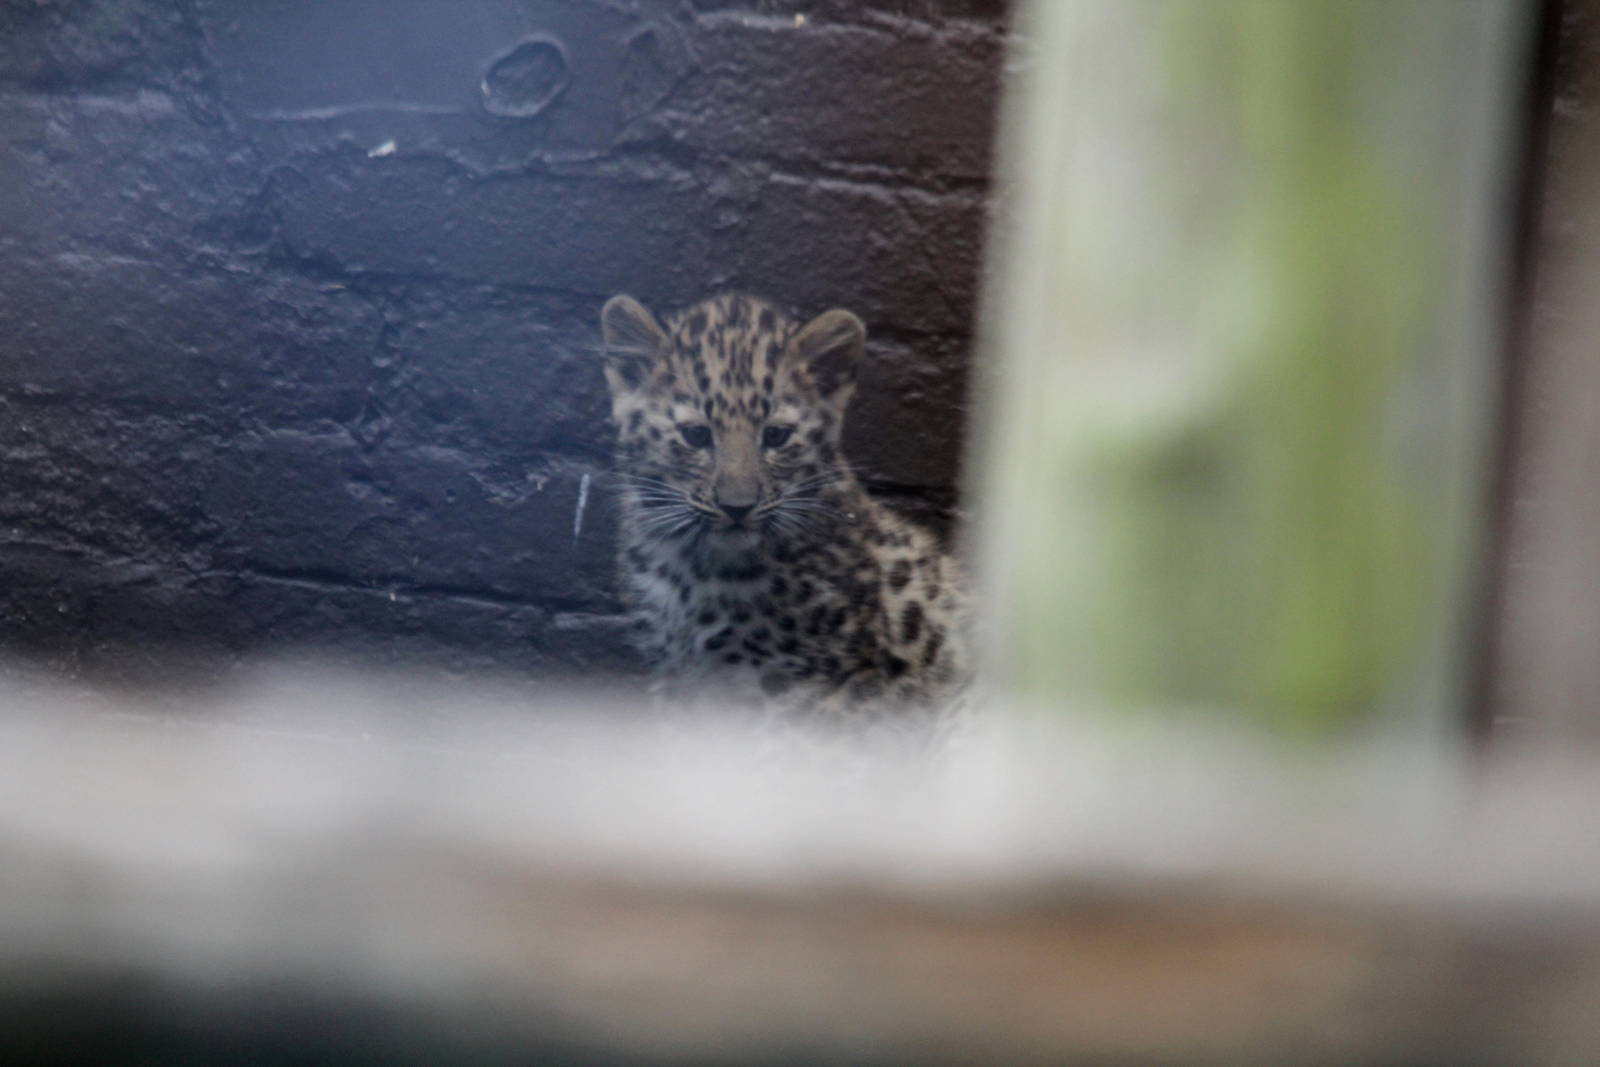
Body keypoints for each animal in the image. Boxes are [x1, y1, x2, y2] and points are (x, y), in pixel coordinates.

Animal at [597, 291, 968, 720]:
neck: (692, 567)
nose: (737, 507)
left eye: (776, 436)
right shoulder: (675, 676)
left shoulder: (824, 686)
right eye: (695, 435)